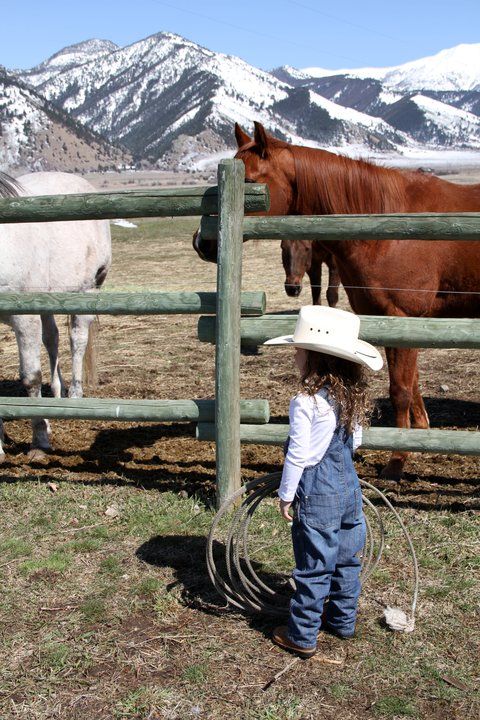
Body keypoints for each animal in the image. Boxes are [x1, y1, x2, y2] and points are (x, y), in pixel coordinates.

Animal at [0, 169, 111, 462]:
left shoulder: (24, 317)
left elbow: (31, 377)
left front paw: (39, 442)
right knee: (53, 338)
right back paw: (57, 395)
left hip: (86, 292)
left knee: (77, 340)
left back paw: (74, 396)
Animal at [194, 121, 480, 480]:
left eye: (252, 181)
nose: (202, 242)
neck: (388, 228)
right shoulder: (395, 324)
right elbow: (412, 385)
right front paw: (418, 438)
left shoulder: (403, 318)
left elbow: (400, 391)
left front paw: (397, 460)